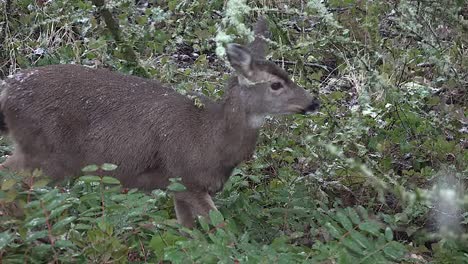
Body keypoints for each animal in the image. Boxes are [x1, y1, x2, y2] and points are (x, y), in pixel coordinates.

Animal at [0, 17, 318, 228]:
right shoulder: (186, 177)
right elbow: (221, 229)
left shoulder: (176, 187)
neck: (210, 139)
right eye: (276, 84)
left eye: (287, 75)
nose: (313, 102)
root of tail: (7, 89)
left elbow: (189, 232)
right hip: (46, 154)